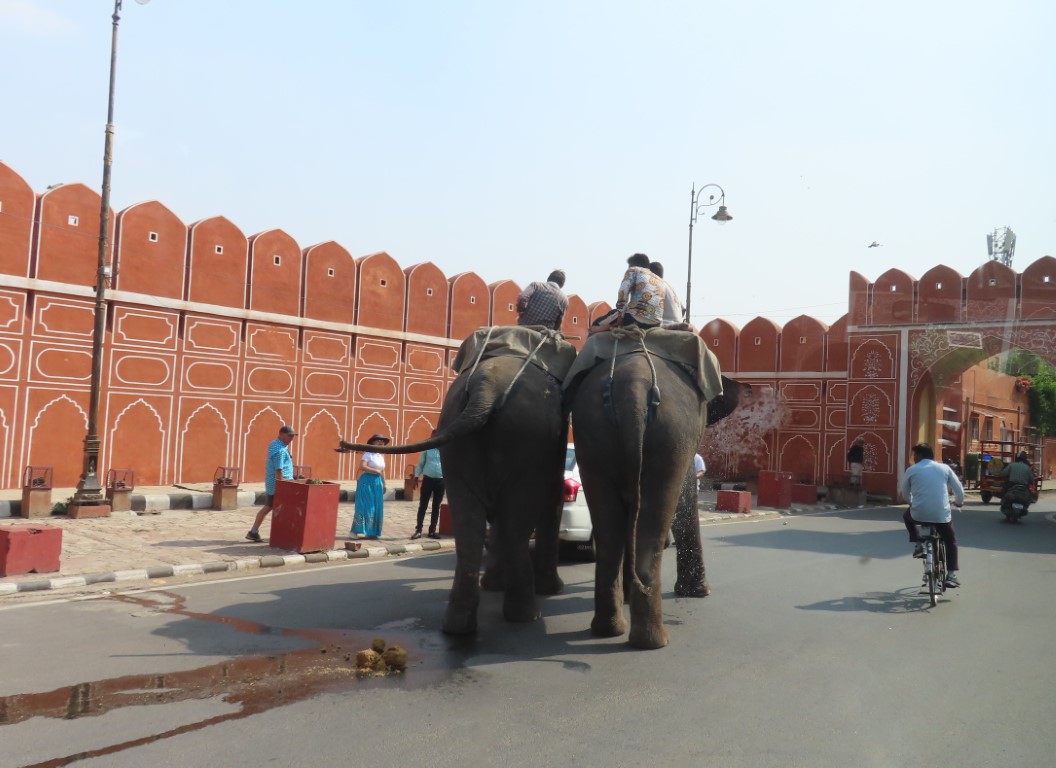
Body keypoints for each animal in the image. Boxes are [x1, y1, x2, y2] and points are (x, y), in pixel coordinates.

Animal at [338, 326, 577, 635]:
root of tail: (486, 388)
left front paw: (494, 585)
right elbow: (551, 501)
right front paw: (550, 590)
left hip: (457, 438)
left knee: (469, 524)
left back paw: (458, 625)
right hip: (525, 437)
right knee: (515, 521)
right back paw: (526, 615)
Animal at [563, 326, 728, 650]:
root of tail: (635, 388)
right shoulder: (686, 445)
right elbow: (684, 496)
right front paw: (699, 593)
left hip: (593, 431)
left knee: (609, 526)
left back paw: (609, 628)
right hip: (671, 434)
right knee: (654, 521)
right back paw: (653, 641)